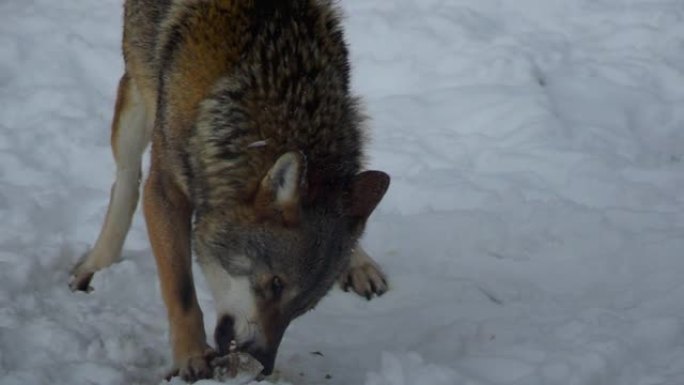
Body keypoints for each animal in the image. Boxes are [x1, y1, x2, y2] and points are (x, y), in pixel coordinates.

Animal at [71, 0, 390, 380]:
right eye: (275, 284)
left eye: (304, 306)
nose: (264, 364)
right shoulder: (164, 190)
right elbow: (180, 289)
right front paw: (192, 356)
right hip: (136, 96)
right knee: (125, 180)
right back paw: (96, 263)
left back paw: (360, 261)